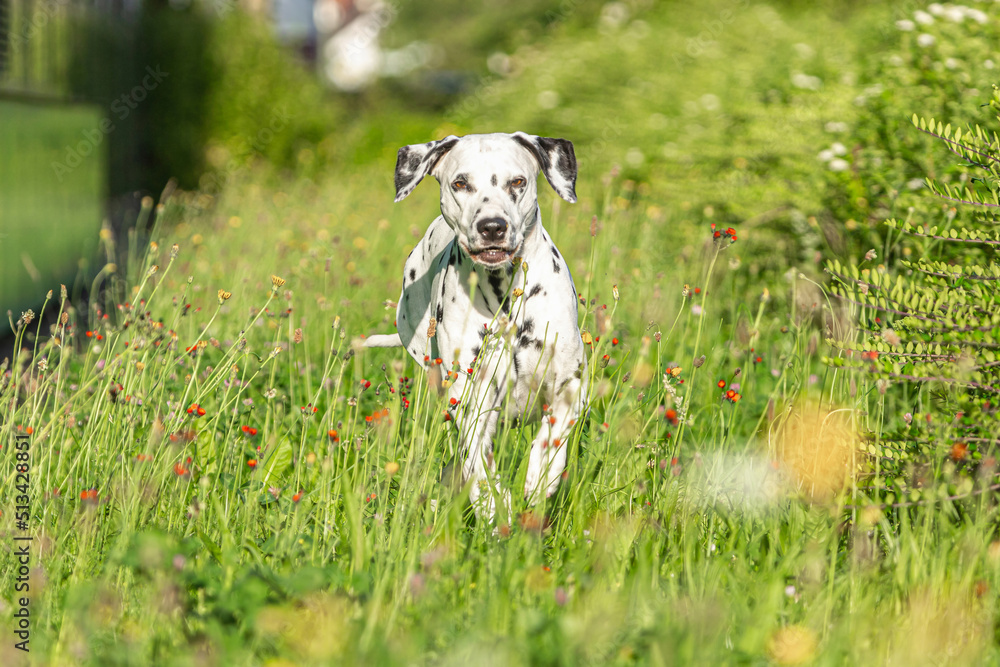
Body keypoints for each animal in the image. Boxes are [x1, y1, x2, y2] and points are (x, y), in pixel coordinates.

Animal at [366, 133, 584, 520]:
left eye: (517, 181)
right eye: (460, 183)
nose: (492, 226)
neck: (507, 297)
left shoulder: (571, 385)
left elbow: (552, 438)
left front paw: (540, 478)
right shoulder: (473, 404)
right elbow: (481, 472)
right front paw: (497, 511)